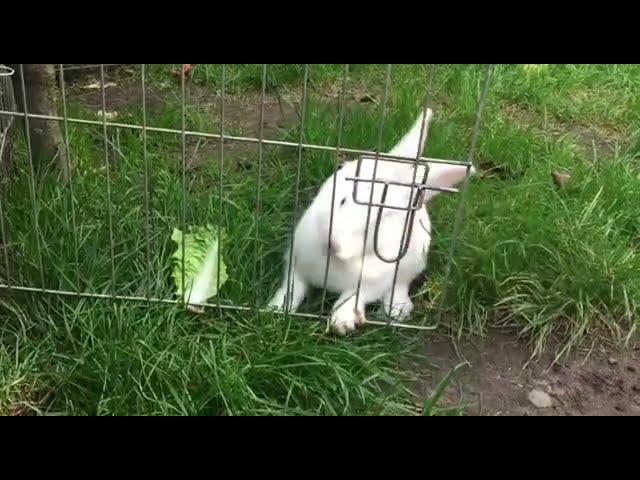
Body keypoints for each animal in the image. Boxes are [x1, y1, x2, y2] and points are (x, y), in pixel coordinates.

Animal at [268, 108, 472, 334]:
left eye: (377, 223)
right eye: (342, 200)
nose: (333, 243)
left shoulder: (371, 283)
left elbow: (352, 298)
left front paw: (343, 322)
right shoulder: (296, 264)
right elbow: (292, 288)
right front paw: (276, 309)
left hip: (413, 261)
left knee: (400, 284)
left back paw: (397, 309)